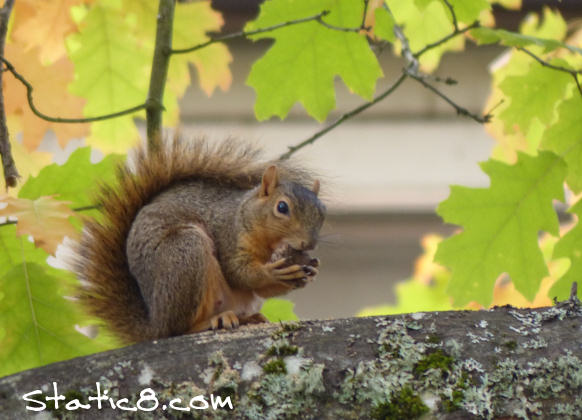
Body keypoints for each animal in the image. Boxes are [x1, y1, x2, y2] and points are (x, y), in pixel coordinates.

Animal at [70, 138, 326, 344]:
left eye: (323, 212)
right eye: (282, 207)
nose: (309, 244)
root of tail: (155, 324)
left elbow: (261, 290)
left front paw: (310, 271)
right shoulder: (228, 235)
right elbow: (237, 273)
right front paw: (274, 272)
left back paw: (249, 318)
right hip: (186, 253)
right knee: (178, 330)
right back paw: (212, 321)